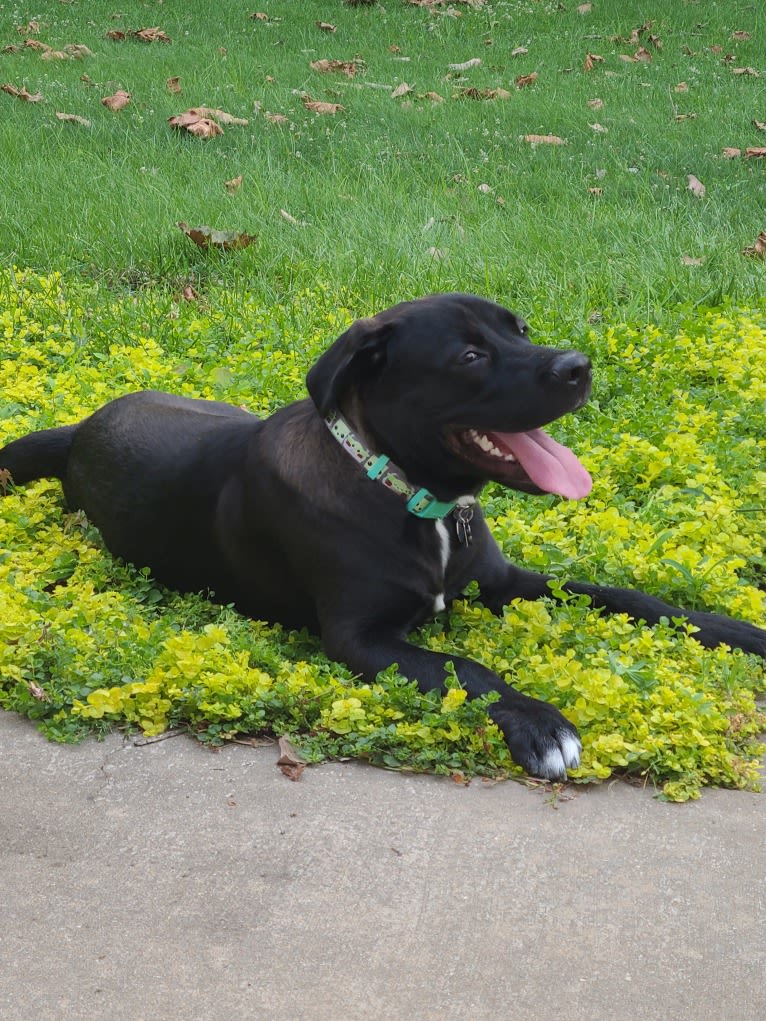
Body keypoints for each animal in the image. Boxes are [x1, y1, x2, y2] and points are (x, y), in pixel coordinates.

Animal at [1, 292, 766, 775]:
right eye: (468, 356)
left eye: (518, 329)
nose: (579, 367)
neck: (414, 497)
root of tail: (81, 430)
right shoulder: (360, 637)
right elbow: (467, 667)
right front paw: (541, 723)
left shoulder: (504, 582)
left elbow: (632, 598)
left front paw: (738, 631)